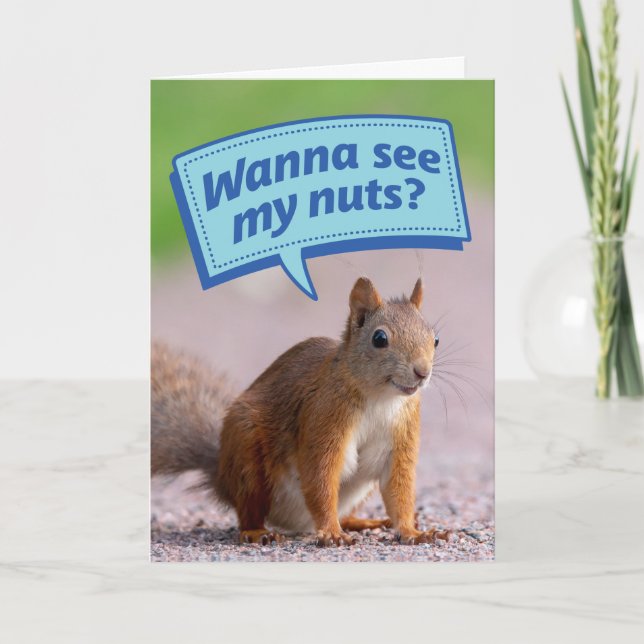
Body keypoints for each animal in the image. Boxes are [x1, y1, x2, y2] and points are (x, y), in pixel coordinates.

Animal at [152, 276, 449, 546]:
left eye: (435, 339)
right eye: (379, 338)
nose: (422, 372)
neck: (381, 399)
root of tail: (223, 478)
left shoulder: (402, 437)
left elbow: (400, 489)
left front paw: (412, 532)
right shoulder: (323, 417)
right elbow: (320, 478)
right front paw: (331, 533)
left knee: (346, 511)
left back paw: (363, 522)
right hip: (248, 457)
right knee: (248, 511)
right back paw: (258, 532)